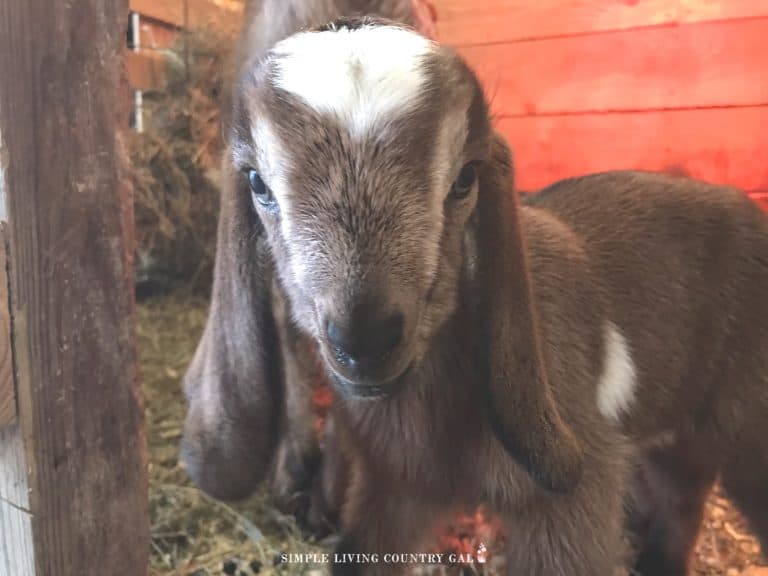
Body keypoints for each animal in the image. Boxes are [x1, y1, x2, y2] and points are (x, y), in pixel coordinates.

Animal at [181, 18, 768, 576]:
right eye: (257, 184)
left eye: (465, 180)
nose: (363, 341)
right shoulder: (395, 488)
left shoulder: (573, 497)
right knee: (681, 490)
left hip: (745, 420)